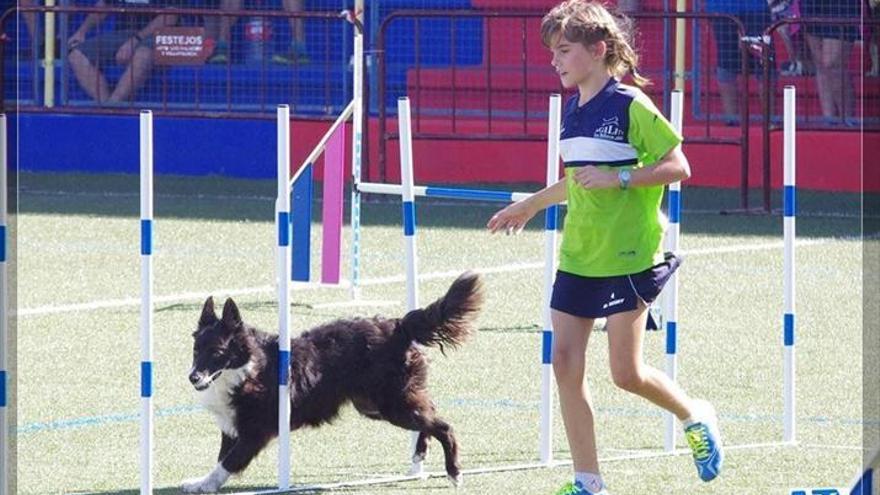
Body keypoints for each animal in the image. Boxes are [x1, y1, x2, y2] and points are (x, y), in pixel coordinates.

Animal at [182, 274, 484, 494]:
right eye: (196, 350)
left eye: (218, 352)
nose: (193, 377)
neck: (248, 368)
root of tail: (398, 325)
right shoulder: (231, 427)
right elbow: (221, 457)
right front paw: (200, 483)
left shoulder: (254, 432)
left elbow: (228, 462)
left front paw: (204, 485)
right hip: (377, 405)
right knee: (430, 412)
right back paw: (420, 453)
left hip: (392, 404)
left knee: (444, 426)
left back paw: (454, 473)